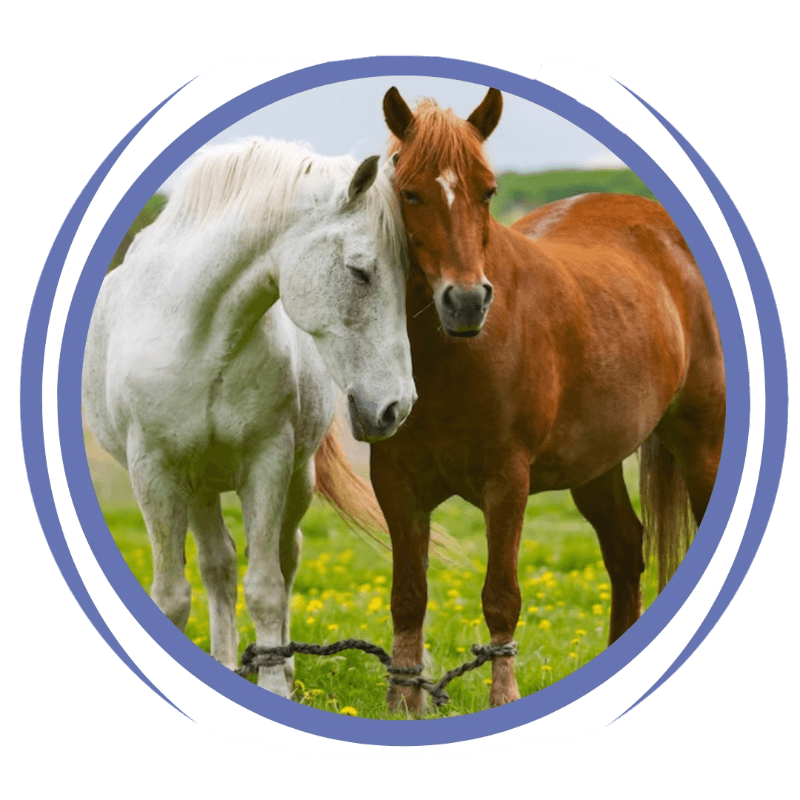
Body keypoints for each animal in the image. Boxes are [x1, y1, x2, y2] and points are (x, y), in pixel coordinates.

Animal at [82, 137, 417, 698]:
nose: (396, 407)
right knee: (217, 565)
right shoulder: (155, 471)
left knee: (284, 556)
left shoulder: (268, 463)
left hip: (295, 481)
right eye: (360, 271)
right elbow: (174, 594)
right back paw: (225, 661)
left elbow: (265, 587)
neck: (199, 334)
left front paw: (276, 686)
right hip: (197, 487)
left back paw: (279, 665)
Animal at [372, 87, 725, 711]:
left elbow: (501, 597)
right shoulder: (396, 483)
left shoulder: (507, 481)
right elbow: (409, 595)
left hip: (701, 439)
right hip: (597, 463)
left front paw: (502, 698)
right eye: (409, 192)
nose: (466, 301)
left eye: (487, 191)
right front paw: (403, 704)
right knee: (624, 549)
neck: (447, 360)